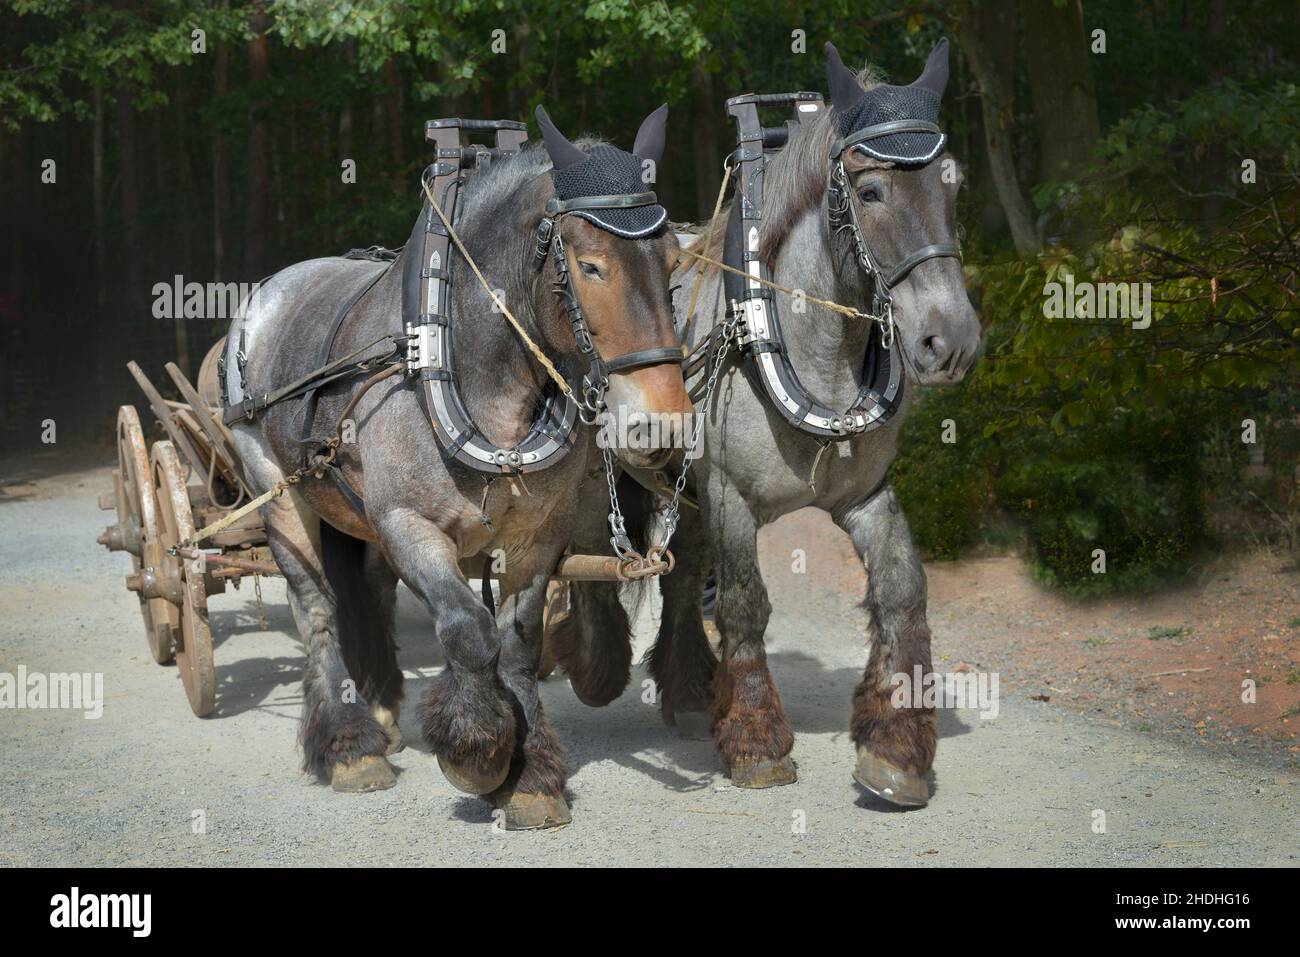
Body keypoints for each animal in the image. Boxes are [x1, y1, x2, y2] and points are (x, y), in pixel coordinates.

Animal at [223, 105, 691, 828]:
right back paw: (350, 743)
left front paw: (531, 774)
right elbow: (469, 630)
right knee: (318, 607)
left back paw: (381, 708)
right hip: (276, 487)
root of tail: (269, 292)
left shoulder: (537, 537)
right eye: (590, 266)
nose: (662, 423)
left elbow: (519, 638)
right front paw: (476, 749)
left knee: (368, 592)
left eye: (673, 260)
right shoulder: (409, 524)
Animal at [550, 41, 981, 807]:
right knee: (594, 553)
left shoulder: (864, 496)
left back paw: (690, 689)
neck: (807, 351)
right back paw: (590, 659)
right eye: (871, 191)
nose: (950, 339)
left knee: (682, 573)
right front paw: (756, 738)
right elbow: (745, 604)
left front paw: (897, 746)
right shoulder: (731, 496)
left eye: (952, 183)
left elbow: (903, 589)